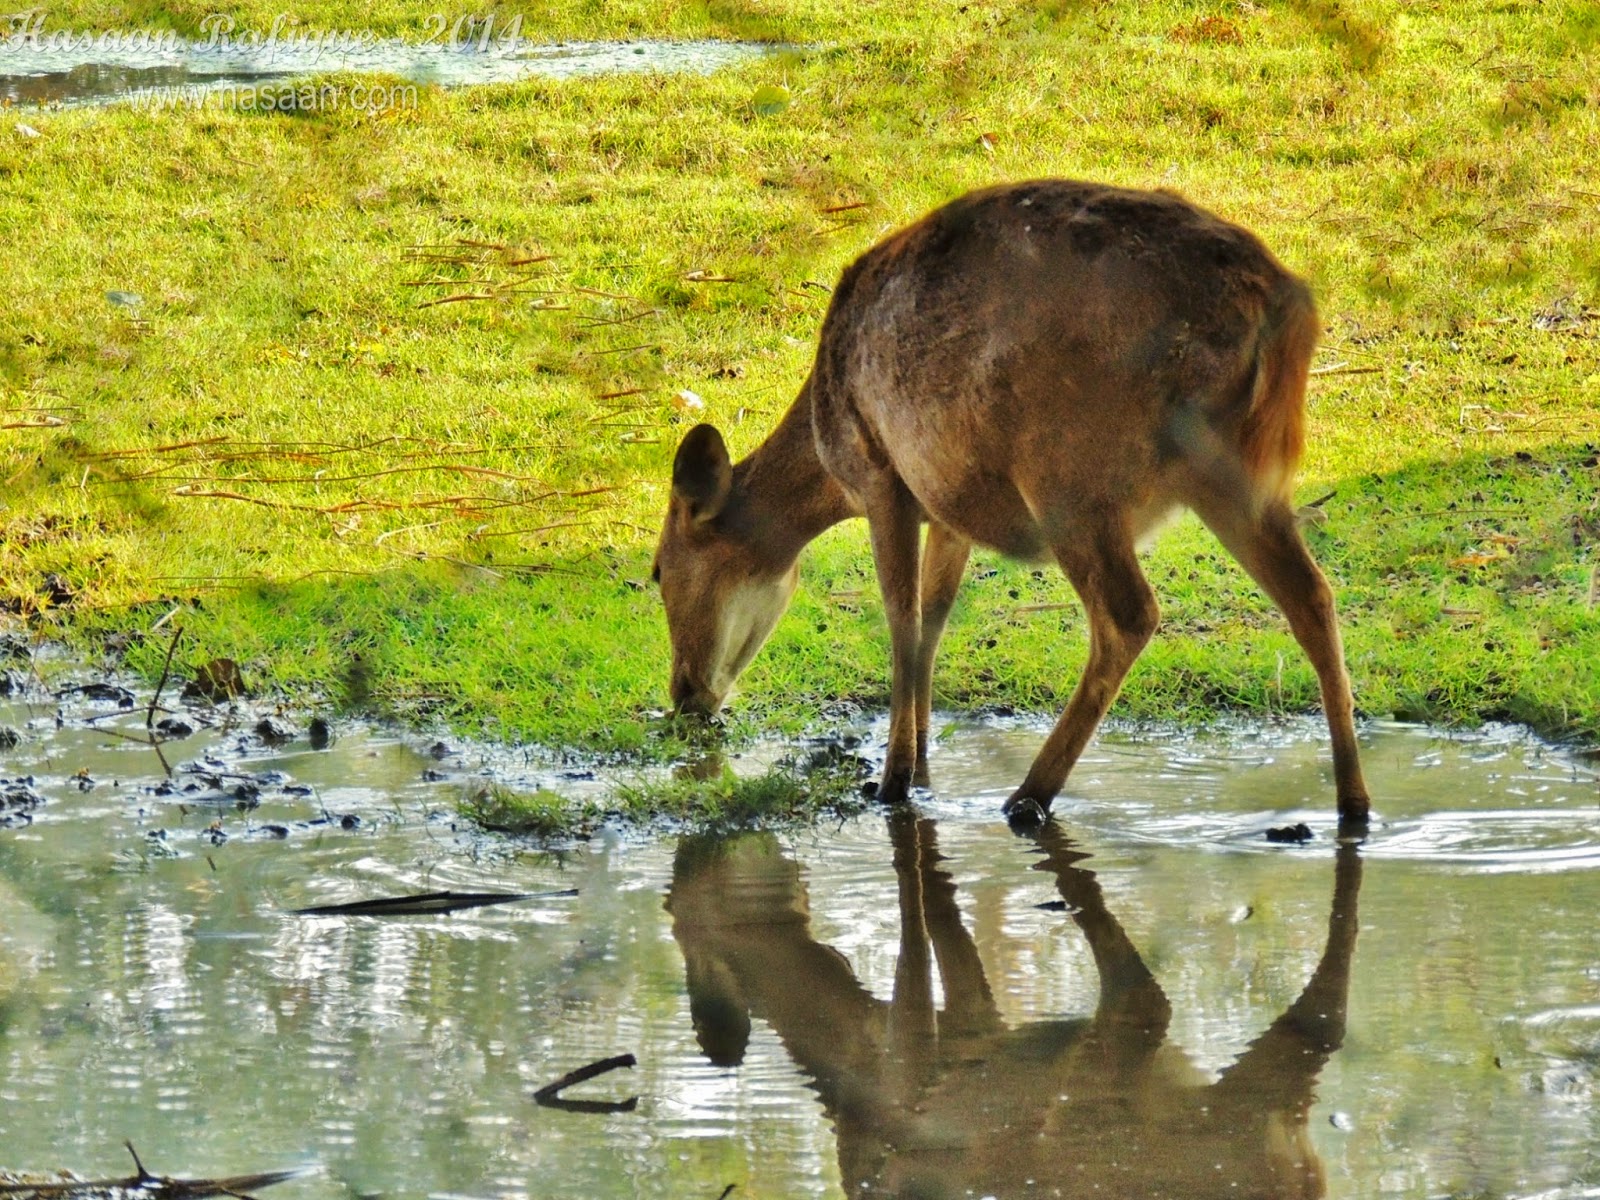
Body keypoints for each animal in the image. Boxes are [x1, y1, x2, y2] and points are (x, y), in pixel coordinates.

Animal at [653, 179, 1371, 827]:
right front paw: (922, 765)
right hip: (1235, 477)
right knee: (1312, 595)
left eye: (658, 571)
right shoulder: (947, 507)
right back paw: (1354, 803)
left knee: (1129, 613)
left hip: (1068, 474)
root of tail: (1288, 308)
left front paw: (892, 783)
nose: (683, 695)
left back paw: (1029, 796)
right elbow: (935, 620)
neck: (826, 448)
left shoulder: (882, 476)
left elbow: (902, 621)